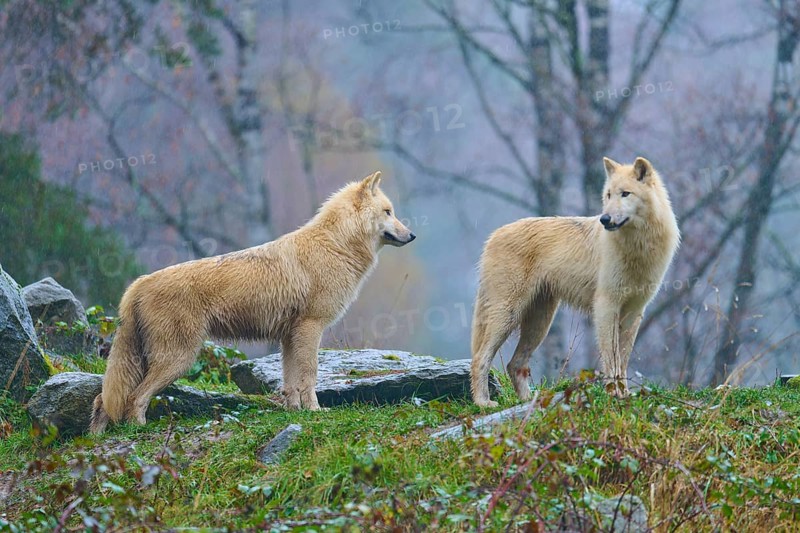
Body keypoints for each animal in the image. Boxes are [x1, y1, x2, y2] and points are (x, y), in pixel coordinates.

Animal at [90, 171, 415, 433]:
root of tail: (139, 283)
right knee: (134, 398)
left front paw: (295, 411)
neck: (335, 246)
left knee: (102, 399)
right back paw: (139, 430)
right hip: (178, 359)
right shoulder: (310, 328)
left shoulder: (288, 337)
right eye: (389, 212)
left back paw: (98, 436)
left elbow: (290, 381)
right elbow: (309, 375)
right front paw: (315, 410)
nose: (412, 235)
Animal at [470, 157, 680, 406]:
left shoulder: (634, 311)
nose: (605, 219)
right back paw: (483, 402)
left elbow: (623, 358)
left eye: (625, 194)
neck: (638, 248)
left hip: (540, 323)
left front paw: (625, 394)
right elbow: (611, 357)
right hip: (508, 316)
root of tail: (493, 236)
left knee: (515, 364)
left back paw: (528, 402)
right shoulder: (606, 305)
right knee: (480, 358)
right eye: (608, 195)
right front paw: (613, 393)